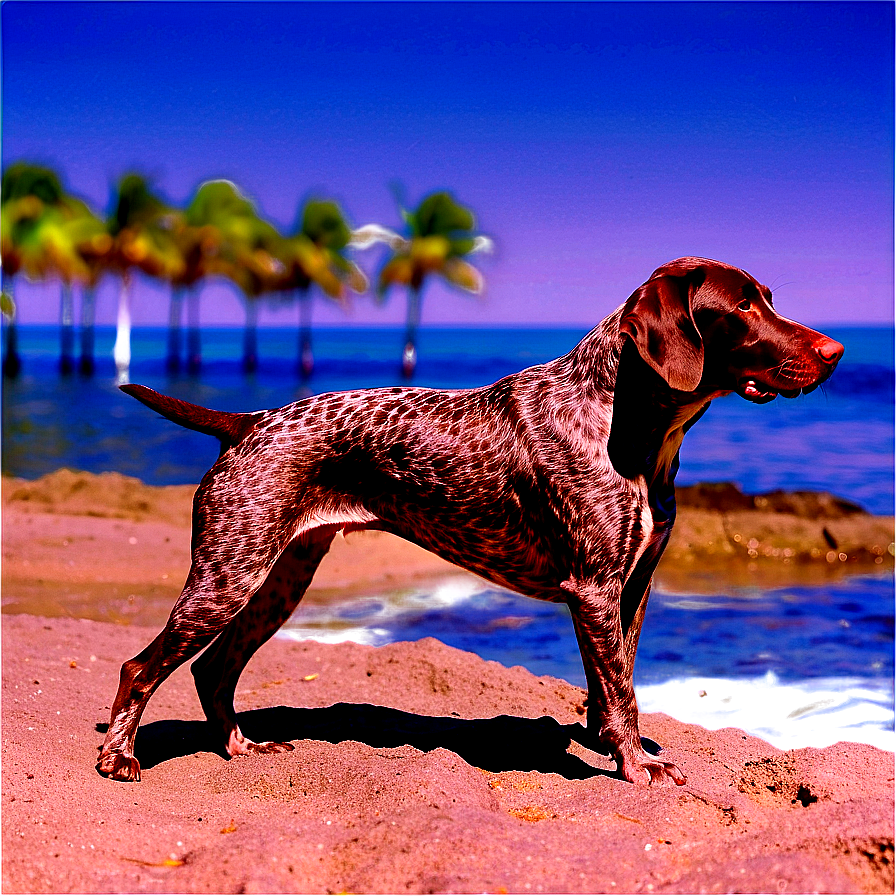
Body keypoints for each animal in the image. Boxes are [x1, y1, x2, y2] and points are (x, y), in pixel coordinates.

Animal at [100, 258, 848, 784]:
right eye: (742, 305)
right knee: (141, 667)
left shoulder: (628, 590)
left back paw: (240, 746)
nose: (836, 351)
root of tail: (251, 421)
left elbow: (613, 687)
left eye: (769, 296)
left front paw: (613, 749)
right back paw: (119, 757)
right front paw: (637, 768)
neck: (624, 420)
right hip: (230, 576)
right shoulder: (594, 590)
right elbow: (623, 694)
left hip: (278, 579)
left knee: (213, 670)